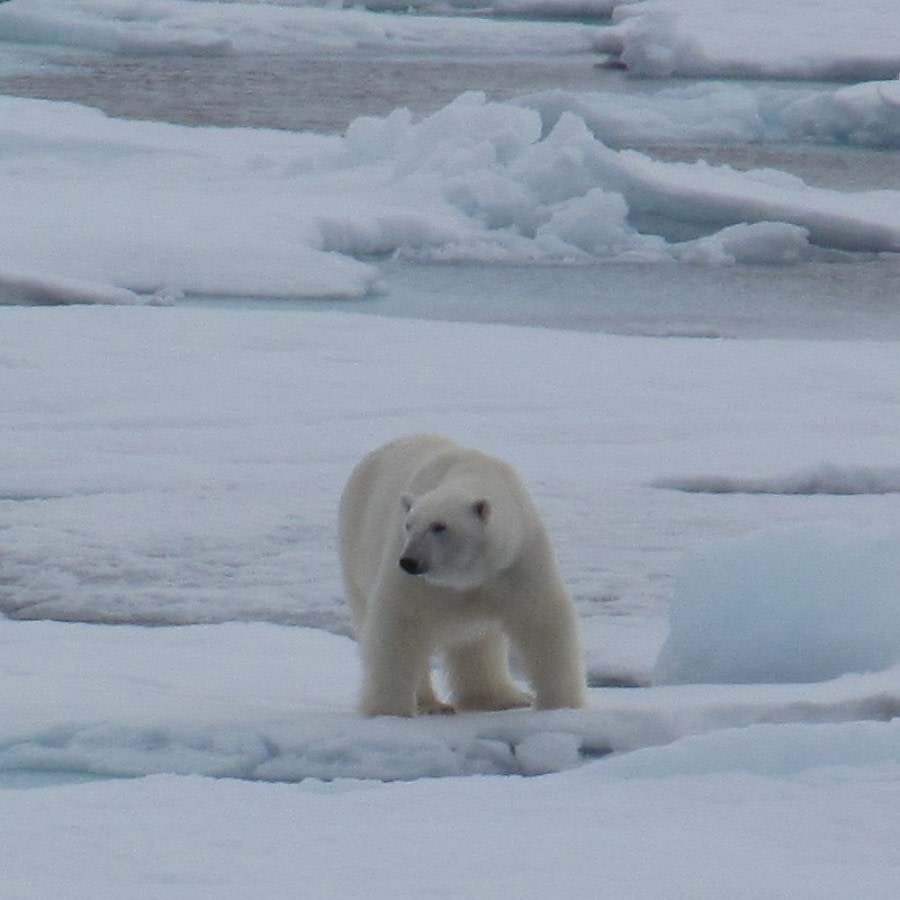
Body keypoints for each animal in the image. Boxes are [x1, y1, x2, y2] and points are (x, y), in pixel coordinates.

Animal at [342, 434, 588, 716]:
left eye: (439, 526)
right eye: (409, 525)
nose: (409, 562)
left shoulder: (517, 560)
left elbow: (542, 619)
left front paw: (562, 705)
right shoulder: (416, 580)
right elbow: (400, 622)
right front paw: (388, 711)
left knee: (478, 644)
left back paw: (500, 698)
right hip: (355, 546)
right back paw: (431, 704)